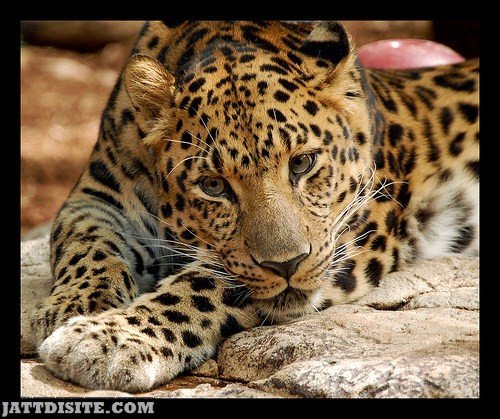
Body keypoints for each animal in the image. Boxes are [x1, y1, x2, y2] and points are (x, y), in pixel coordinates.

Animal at [29, 21, 478, 392]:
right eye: (213, 186)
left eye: (302, 163)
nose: (287, 265)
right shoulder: (98, 196)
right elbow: (86, 244)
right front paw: (73, 306)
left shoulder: (357, 225)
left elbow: (203, 285)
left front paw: (107, 338)